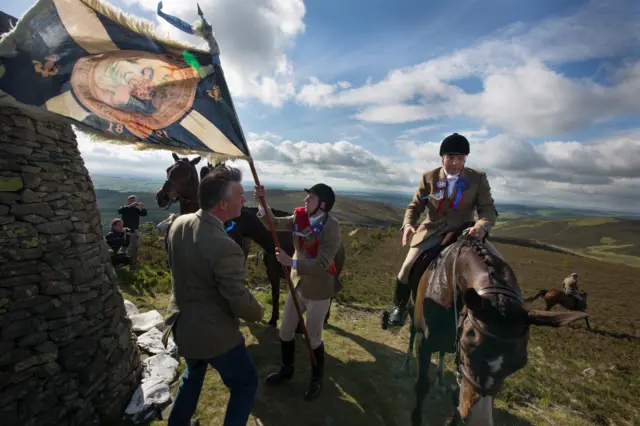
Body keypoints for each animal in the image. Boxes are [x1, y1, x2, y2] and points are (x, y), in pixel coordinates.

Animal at [404, 225, 592, 424]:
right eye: (468, 348)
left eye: (519, 364)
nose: (478, 419)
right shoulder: (424, 344)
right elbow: (422, 386)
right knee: (412, 333)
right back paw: (407, 364)